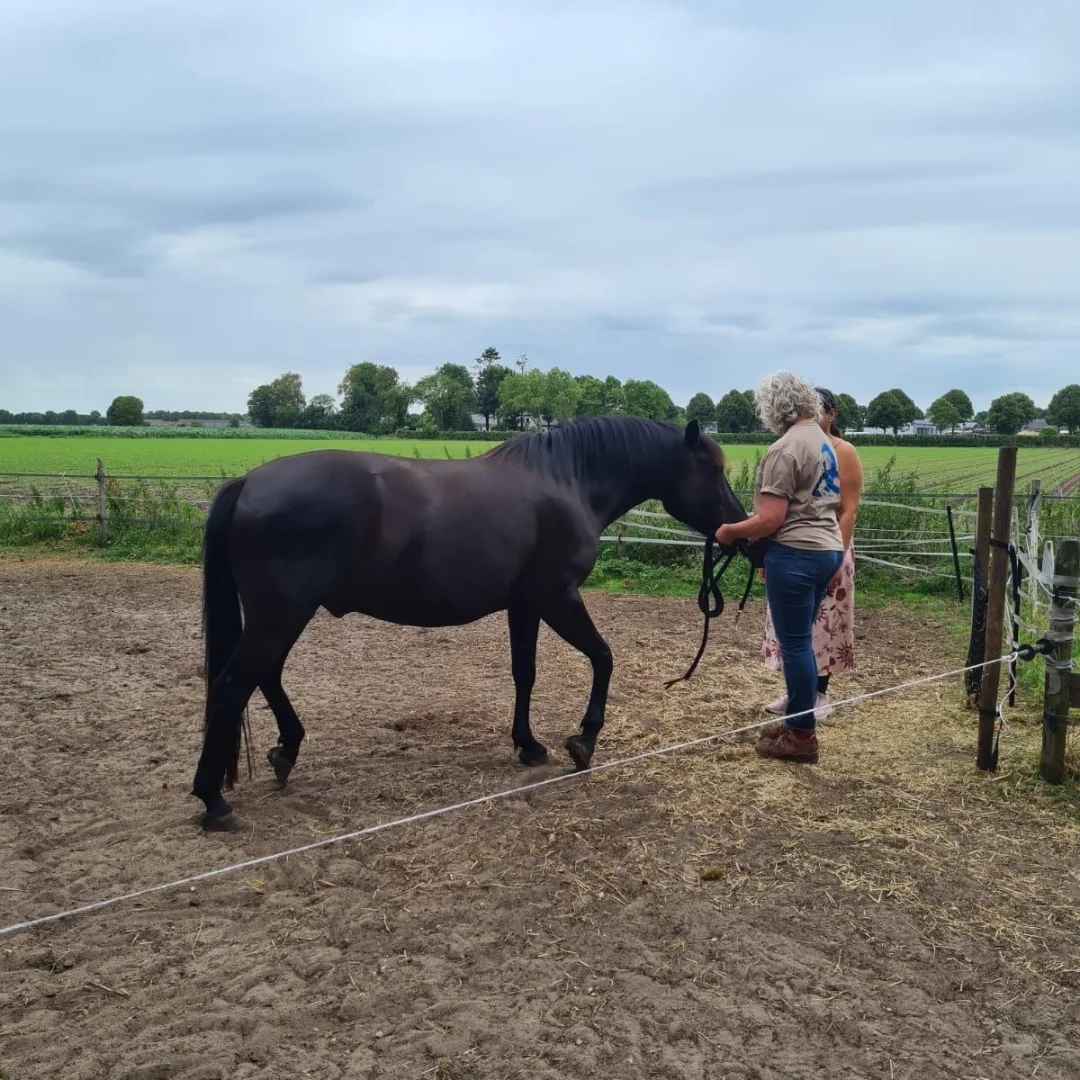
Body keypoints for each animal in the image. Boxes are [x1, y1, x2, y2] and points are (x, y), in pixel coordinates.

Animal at [191, 415, 750, 830]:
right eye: (712, 468)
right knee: (233, 684)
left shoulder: (525, 605)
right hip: (281, 613)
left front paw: (528, 745)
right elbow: (603, 657)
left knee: (264, 677)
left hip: (281, 615)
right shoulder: (558, 598)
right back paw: (213, 801)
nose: (741, 532)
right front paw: (583, 742)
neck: (567, 481)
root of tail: (249, 482)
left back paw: (285, 753)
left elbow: (525, 673)